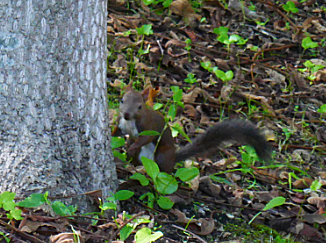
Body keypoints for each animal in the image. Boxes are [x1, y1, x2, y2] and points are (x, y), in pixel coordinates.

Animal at [115, 84, 272, 174]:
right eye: (122, 100)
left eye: (140, 106)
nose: (127, 114)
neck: (130, 122)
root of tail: (173, 158)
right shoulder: (121, 124)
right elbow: (117, 132)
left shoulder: (148, 126)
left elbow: (146, 138)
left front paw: (134, 146)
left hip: (162, 155)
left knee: (164, 170)